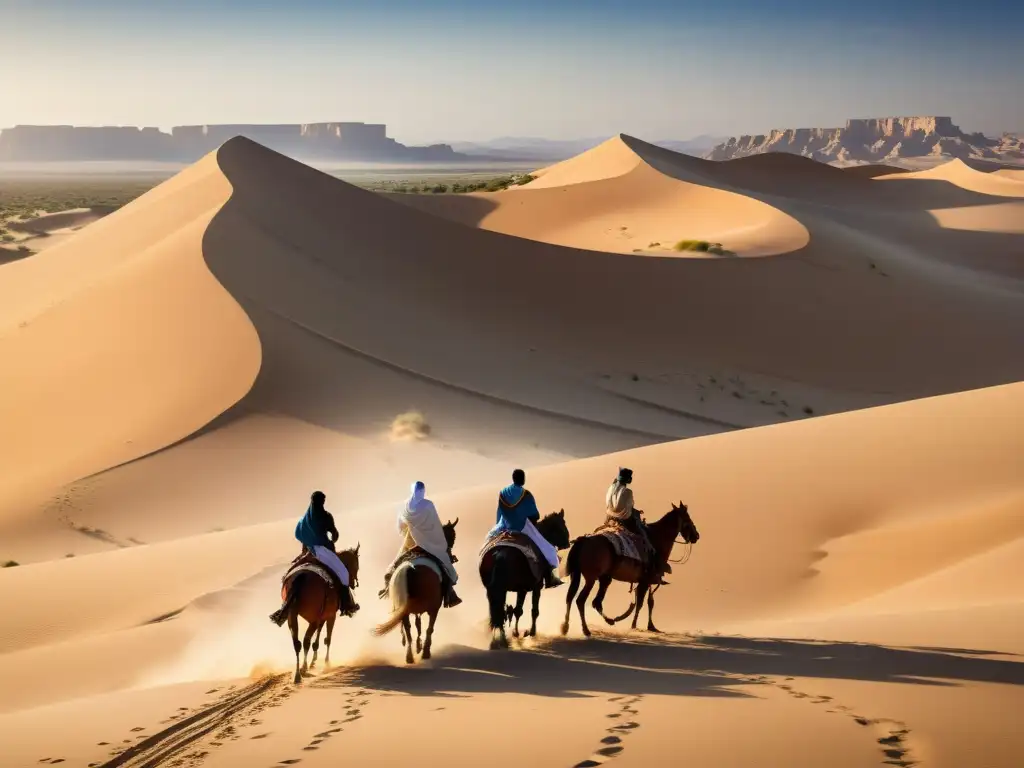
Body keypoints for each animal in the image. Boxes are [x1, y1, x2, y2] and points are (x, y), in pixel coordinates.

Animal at [272, 544, 360, 684]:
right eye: (356, 565)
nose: (354, 583)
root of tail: (301, 576)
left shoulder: (321, 616)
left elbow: (318, 638)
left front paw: (313, 662)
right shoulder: (330, 616)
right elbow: (328, 639)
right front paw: (326, 664)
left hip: (293, 615)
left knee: (297, 643)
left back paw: (298, 674)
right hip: (313, 618)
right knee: (306, 640)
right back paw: (303, 668)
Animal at [372, 520, 460, 663]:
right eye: (452, 537)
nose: (452, 557)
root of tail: (410, 568)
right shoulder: (434, 608)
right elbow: (429, 628)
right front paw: (425, 650)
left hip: (403, 608)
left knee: (407, 629)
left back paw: (409, 655)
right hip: (432, 606)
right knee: (425, 628)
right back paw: (423, 653)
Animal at [477, 512, 573, 651]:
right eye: (562, 526)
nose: (567, 544)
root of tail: (498, 555)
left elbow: (516, 611)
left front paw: (517, 634)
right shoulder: (533, 587)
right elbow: (532, 611)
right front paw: (528, 632)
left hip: (493, 590)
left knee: (498, 613)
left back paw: (499, 642)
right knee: (503, 612)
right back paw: (503, 641)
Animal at [557, 499, 700, 638]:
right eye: (688, 519)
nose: (696, 536)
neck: (656, 539)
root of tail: (583, 541)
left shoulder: (647, 581)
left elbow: (649, 602)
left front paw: (651, 626)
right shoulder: (646, 580)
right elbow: (641, 603)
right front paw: (634, 625)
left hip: (581, 575)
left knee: (573, 598)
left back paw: (566, 627)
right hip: (591, 578)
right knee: (582, 600)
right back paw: (587, 629)